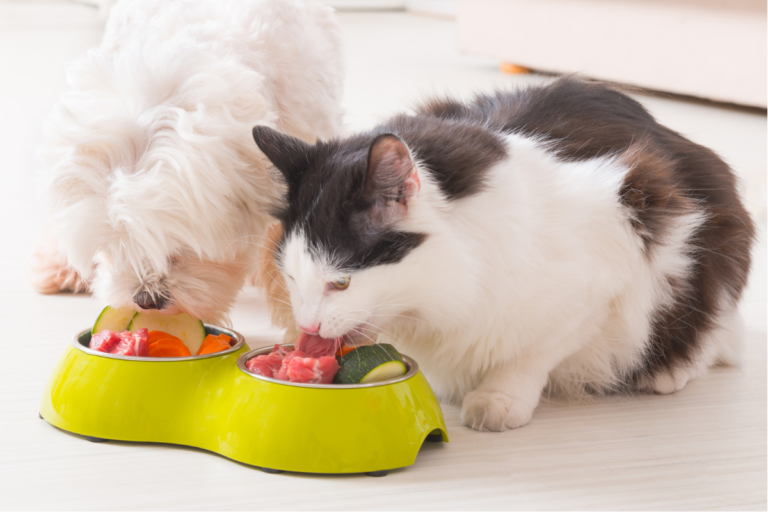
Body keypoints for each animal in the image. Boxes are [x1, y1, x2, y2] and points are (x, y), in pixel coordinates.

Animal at [249, 79, 752, 432]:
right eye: (290, 278)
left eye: (340, 282)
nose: (308, 327)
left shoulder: (603, 277)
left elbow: (530, 355)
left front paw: (498, 401)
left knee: (703, 333)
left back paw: (668, 374)